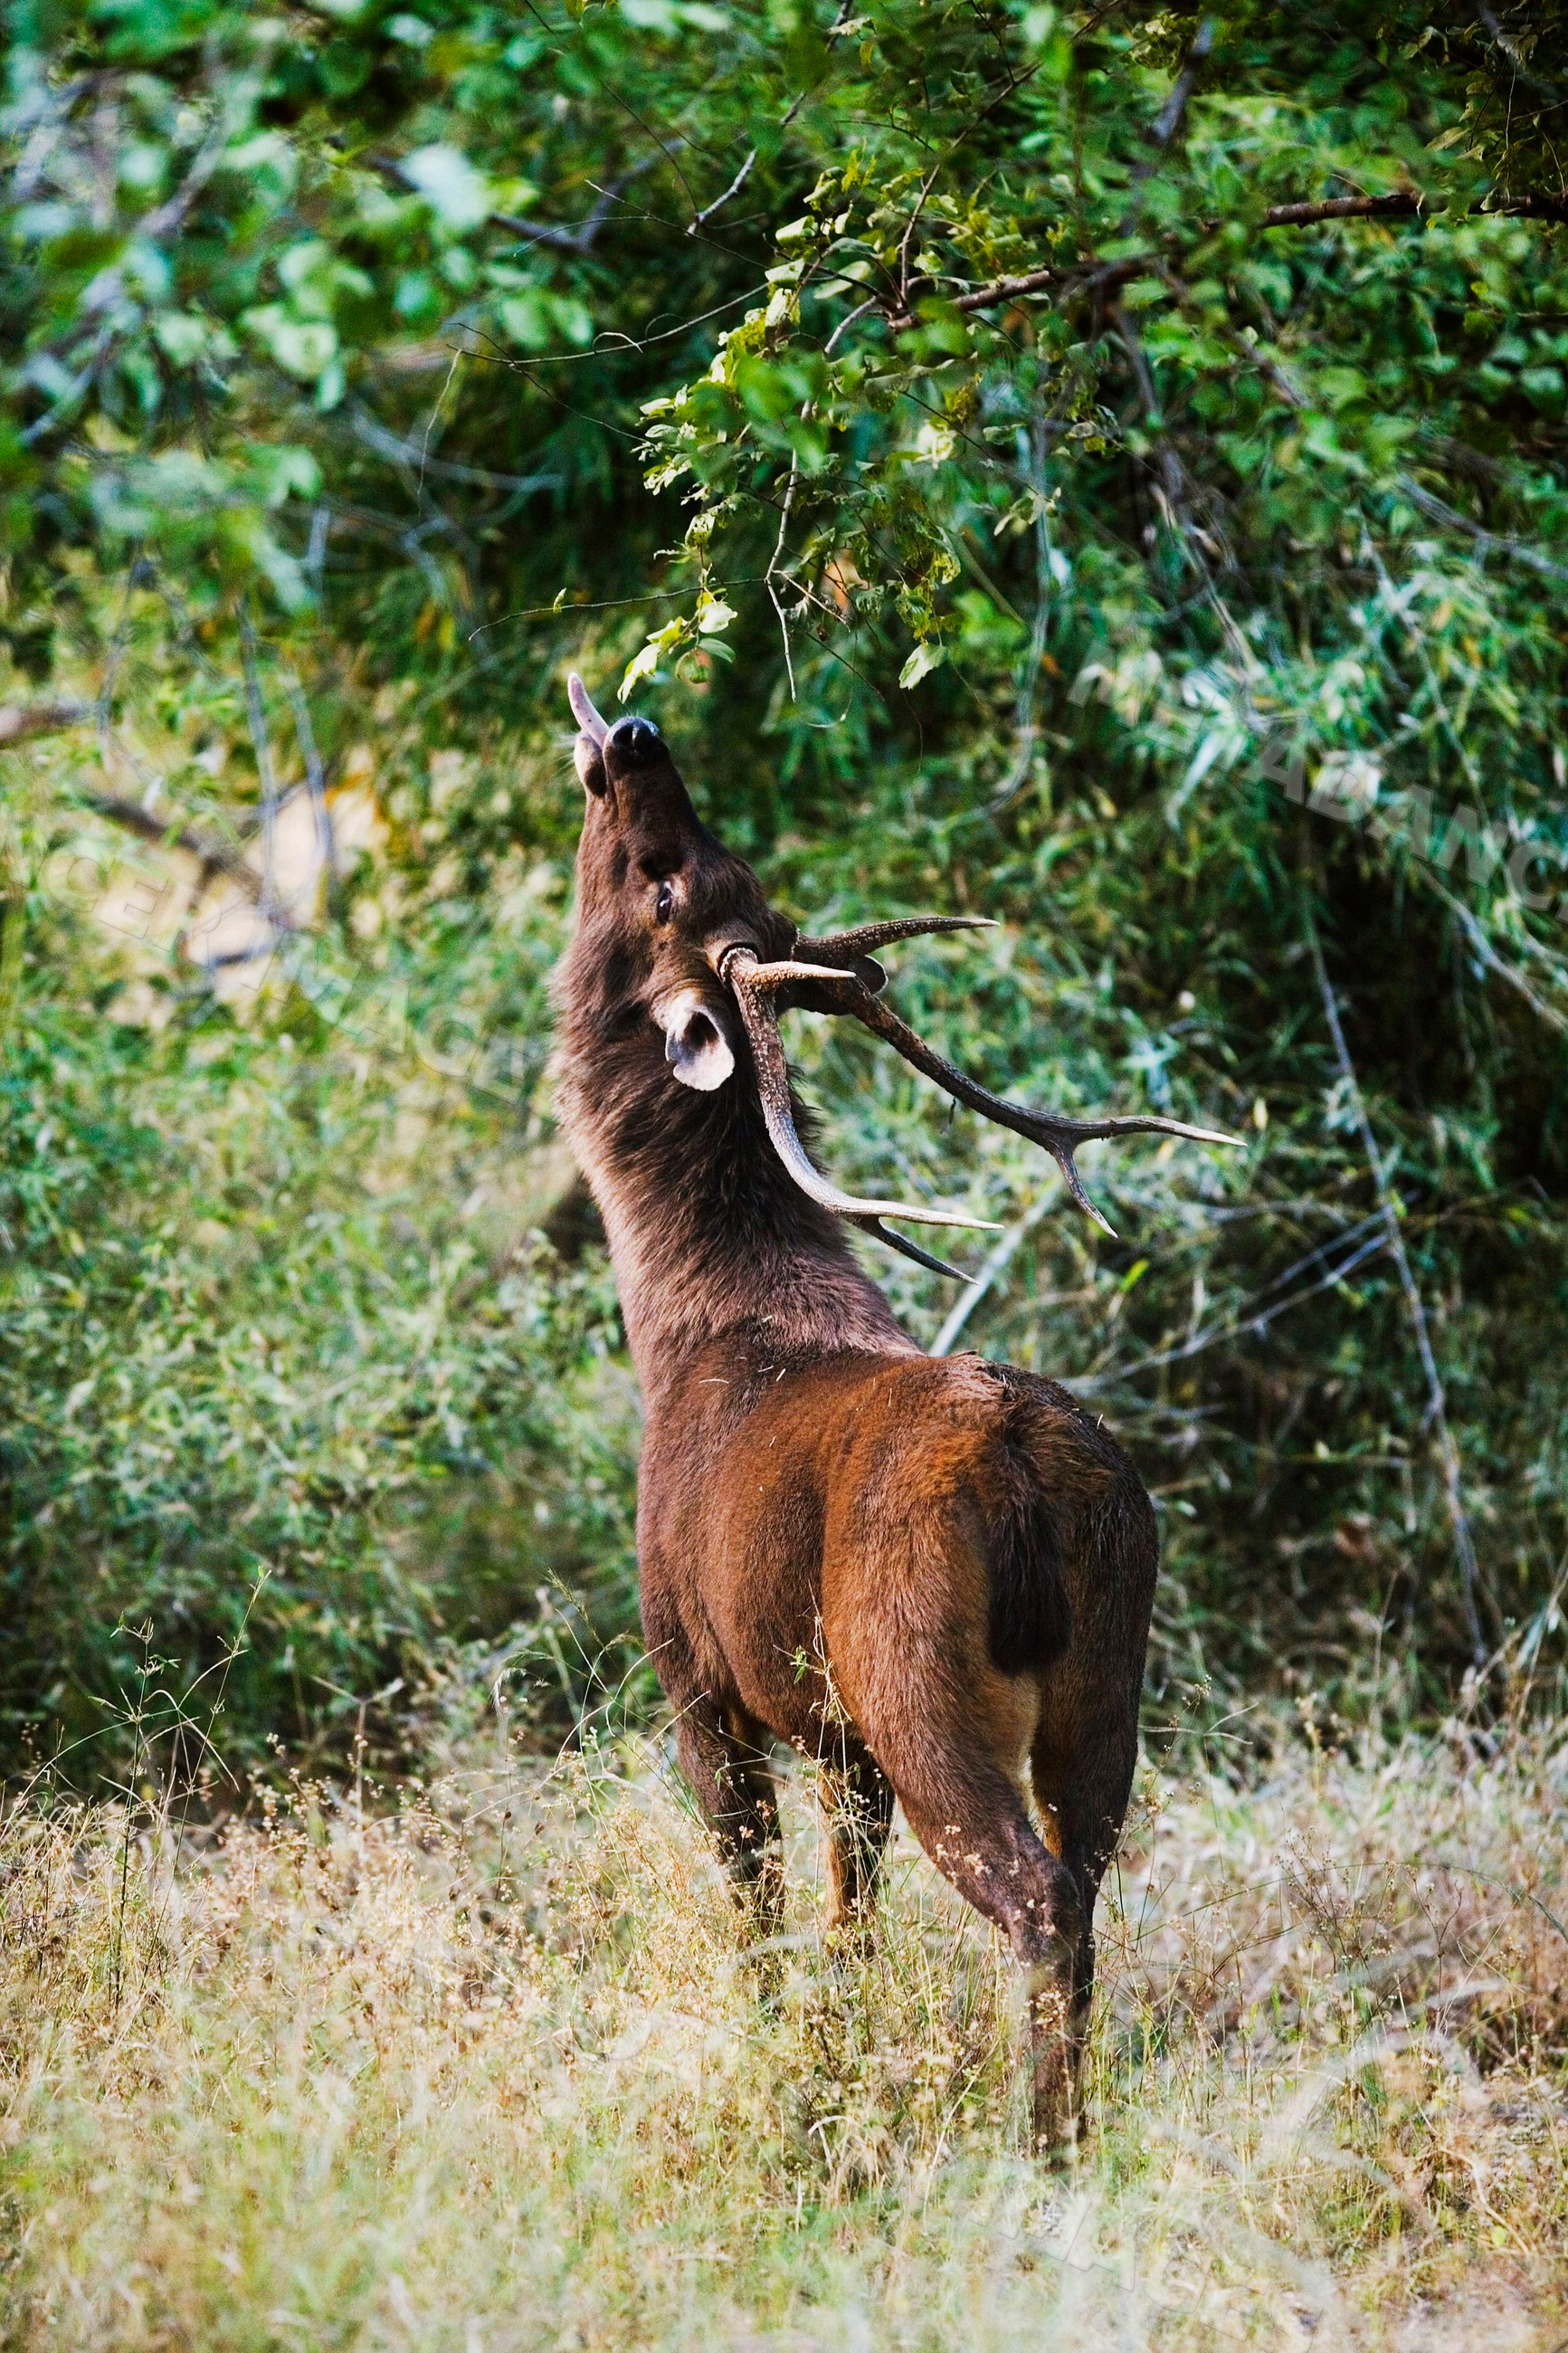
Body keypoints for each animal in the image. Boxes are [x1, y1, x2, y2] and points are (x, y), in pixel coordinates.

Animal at [551, 675, 1235, 2152]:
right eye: (714, 866)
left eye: (664, 877)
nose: (631, 730)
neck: (683, 1331)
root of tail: (1030, 1479)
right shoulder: (837, 1738)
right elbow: (851, 1919)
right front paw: (840, 2048)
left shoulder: (692, 1668)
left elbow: (753, 1904)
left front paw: (775, 2062)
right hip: (1106, 1667)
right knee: (1089, 1874)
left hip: (912, 1661)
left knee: (1033, 1893)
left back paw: (1042, 2146)